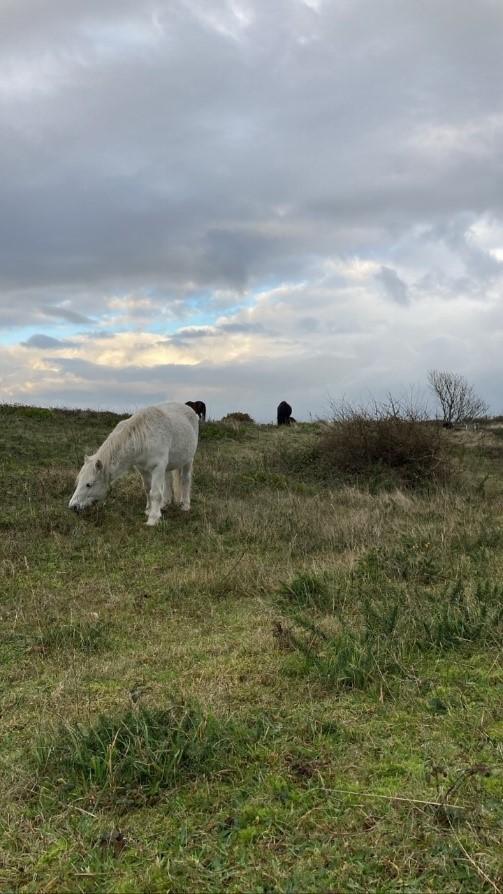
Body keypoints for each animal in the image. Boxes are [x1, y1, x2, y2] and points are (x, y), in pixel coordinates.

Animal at [69, 402, 199, 526]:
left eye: (89, 484)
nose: (72, 506)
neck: (144, 438)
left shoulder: (158, 468)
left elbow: (155, 493)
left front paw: (153, 519)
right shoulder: (143, 469)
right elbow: (148, 489)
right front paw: (149, 510)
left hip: (188, 460)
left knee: (185, 479)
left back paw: (185, 506)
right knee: (168, 481)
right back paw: (164, 504)